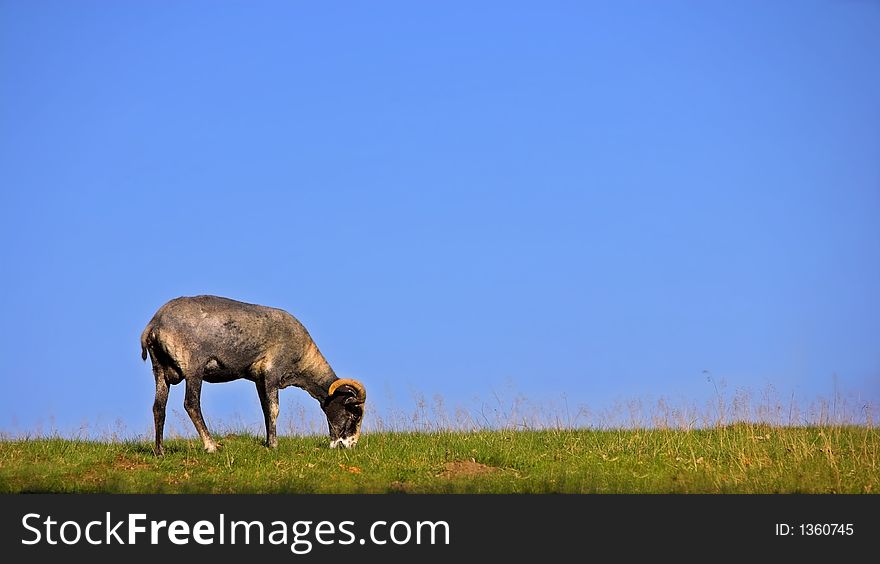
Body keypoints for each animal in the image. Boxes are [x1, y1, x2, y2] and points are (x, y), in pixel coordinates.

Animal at [142, 296, 368, 454]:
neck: (302, 360)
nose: (349, 446)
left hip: (159, 370)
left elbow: (266, 410)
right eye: (354, 412)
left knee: (158, 408)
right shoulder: (273, 373)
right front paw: (274, 445)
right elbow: (275, 409)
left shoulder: (259, 380)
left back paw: (160, 451)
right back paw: (211, 446)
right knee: (191, 404)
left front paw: (268, 442)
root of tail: (154, 326)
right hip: (193, 368)